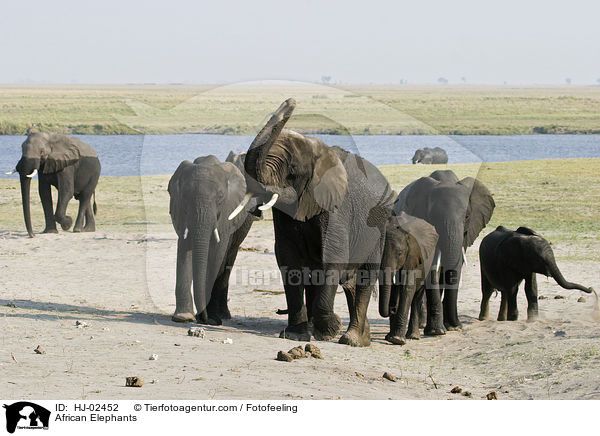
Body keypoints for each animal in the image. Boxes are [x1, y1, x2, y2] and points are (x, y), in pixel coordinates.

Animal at [168, 152, 256, 326]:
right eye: (185, 196)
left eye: (221, 197)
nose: (204, 319)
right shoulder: (181, 210)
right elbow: (184, 250)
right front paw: (183, 317)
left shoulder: (227, 212)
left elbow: (217, 254)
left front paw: (212, 319)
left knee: (228, 260)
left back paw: (223, 315)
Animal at [232, 99, 396, 348]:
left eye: (292, 171)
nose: (290, 101)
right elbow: (287, 257)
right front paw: (296, 335)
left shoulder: (336, 207)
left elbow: (333, 256)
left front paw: (329, 330)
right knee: (345, 281)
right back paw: (358, 336)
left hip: (378, 228)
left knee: (365, 277)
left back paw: (352, 340)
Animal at [382, 211, 438, 344]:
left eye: (400, 253)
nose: (392, 309)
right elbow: (394, 289)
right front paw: (390, 338)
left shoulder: (413, 256)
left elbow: (406, 288)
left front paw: (397, 340)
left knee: (417, 294)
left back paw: (414, 336)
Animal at [392, 169, 494, 332]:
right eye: (433, 218)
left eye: (467, 216)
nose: (457, 325)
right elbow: (432, 266)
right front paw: (437, 331)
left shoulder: (466, 232)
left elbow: (455, 265)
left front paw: (451, 327)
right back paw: (423, 325)